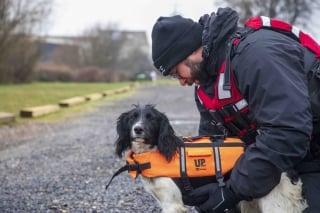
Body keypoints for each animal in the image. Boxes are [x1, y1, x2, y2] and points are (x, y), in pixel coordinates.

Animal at [115, 105, 308, 213]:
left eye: (152, 119)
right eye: (132, 118)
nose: (138, 129)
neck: (153, 152)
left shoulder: (173, 204)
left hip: (275, 204)